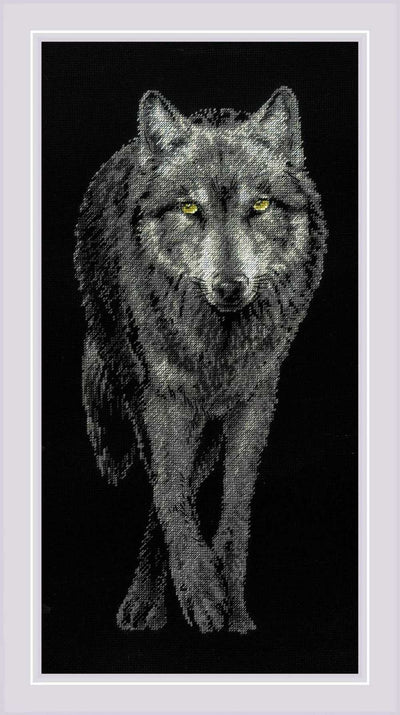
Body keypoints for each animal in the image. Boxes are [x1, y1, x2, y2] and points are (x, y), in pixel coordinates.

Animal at [74, 86, 327, 634]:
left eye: (260, 204)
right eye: (190, 207)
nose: (230, 287)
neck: (218, 347)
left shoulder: (255, 402)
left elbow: (234, 506)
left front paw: (229, 603)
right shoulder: (162, 400)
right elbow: (172, 495)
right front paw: (202, 592)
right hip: (139, 388)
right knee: (165, 487)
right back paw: (145, 602)